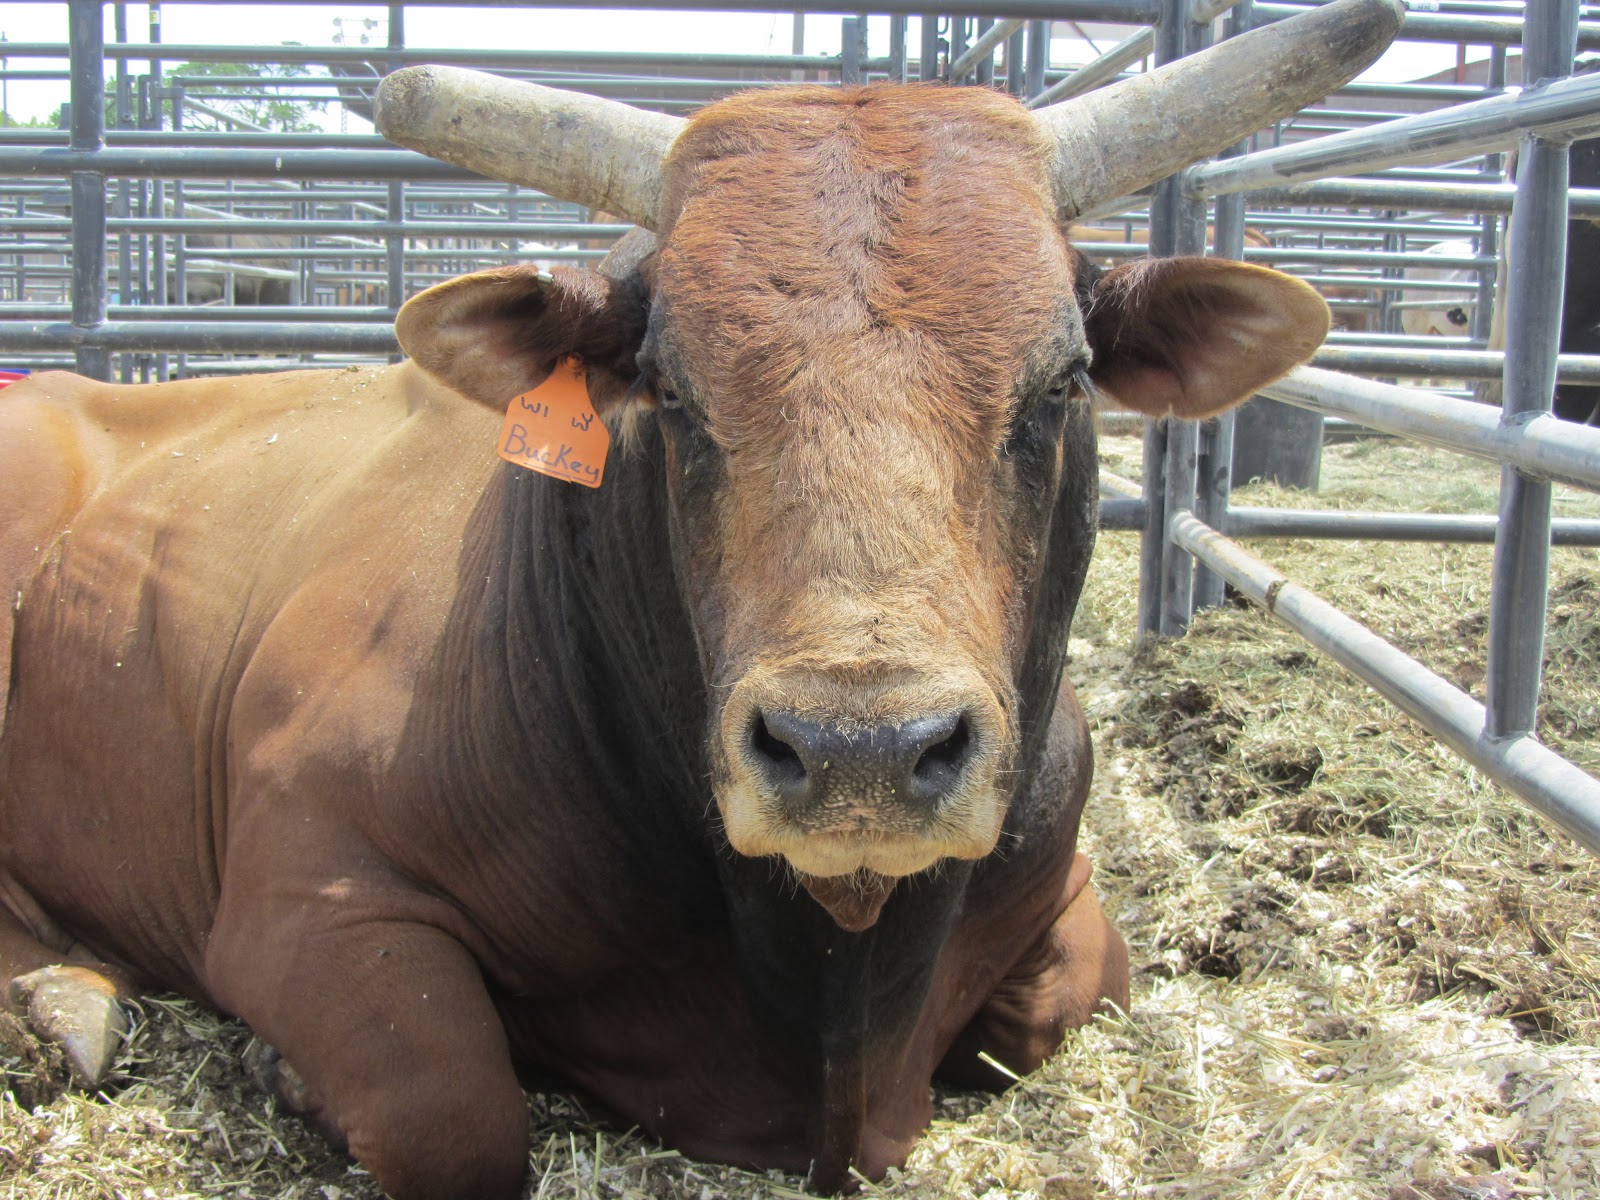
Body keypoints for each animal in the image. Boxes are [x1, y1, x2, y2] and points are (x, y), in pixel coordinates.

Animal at [0, 2, 1401, 1198]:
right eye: (669, 388)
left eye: (1061, 381)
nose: (859, 750)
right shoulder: (313, 888)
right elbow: (453, 1112)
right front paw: (291, 1072)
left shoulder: (1067, 905)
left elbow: (1059, 1002)